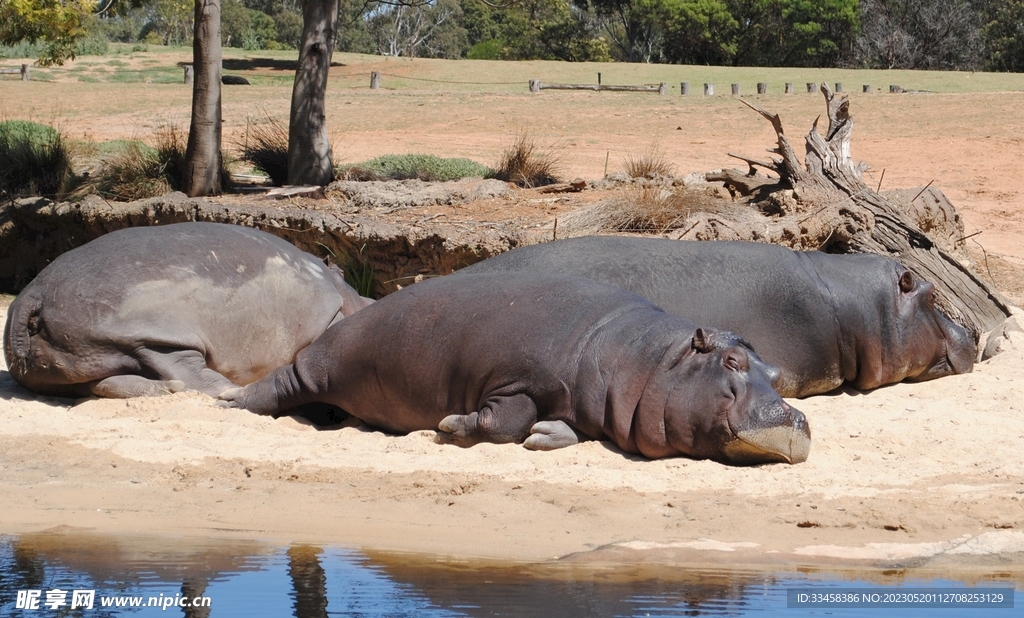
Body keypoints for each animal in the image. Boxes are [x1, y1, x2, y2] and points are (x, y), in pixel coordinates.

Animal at [4, 221, 372, 394]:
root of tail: (32, 294)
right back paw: (233, 390)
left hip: (73, 361)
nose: (372, 300)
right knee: (185, 370)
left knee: (100, 383)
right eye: (343, 272)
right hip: (149, 334)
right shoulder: (329, 316)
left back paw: (168, 391)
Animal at [220, 272, 811, 466]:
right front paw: (451, 426)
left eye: (777, 372)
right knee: (282, 383)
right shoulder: (515, 379)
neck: (642, 359)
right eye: (732, 361)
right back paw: (230, 402)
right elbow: (505, 418)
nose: (797, 418)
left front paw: (548, 435)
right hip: (321, 363)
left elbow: (549, 426)